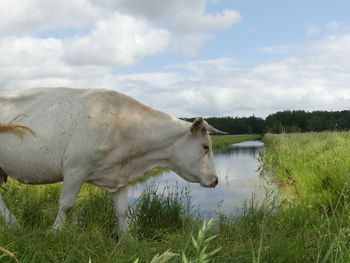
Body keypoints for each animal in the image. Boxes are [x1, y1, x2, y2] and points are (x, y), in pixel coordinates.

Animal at [0, 88, 224, 231]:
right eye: (206, 146)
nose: (215, 180)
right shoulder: (75, 169)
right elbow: (66, 204)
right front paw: (55, 232)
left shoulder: (119, 175)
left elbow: (123, 211)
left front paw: (127, 241)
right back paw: (14, 225)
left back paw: (13, 225)